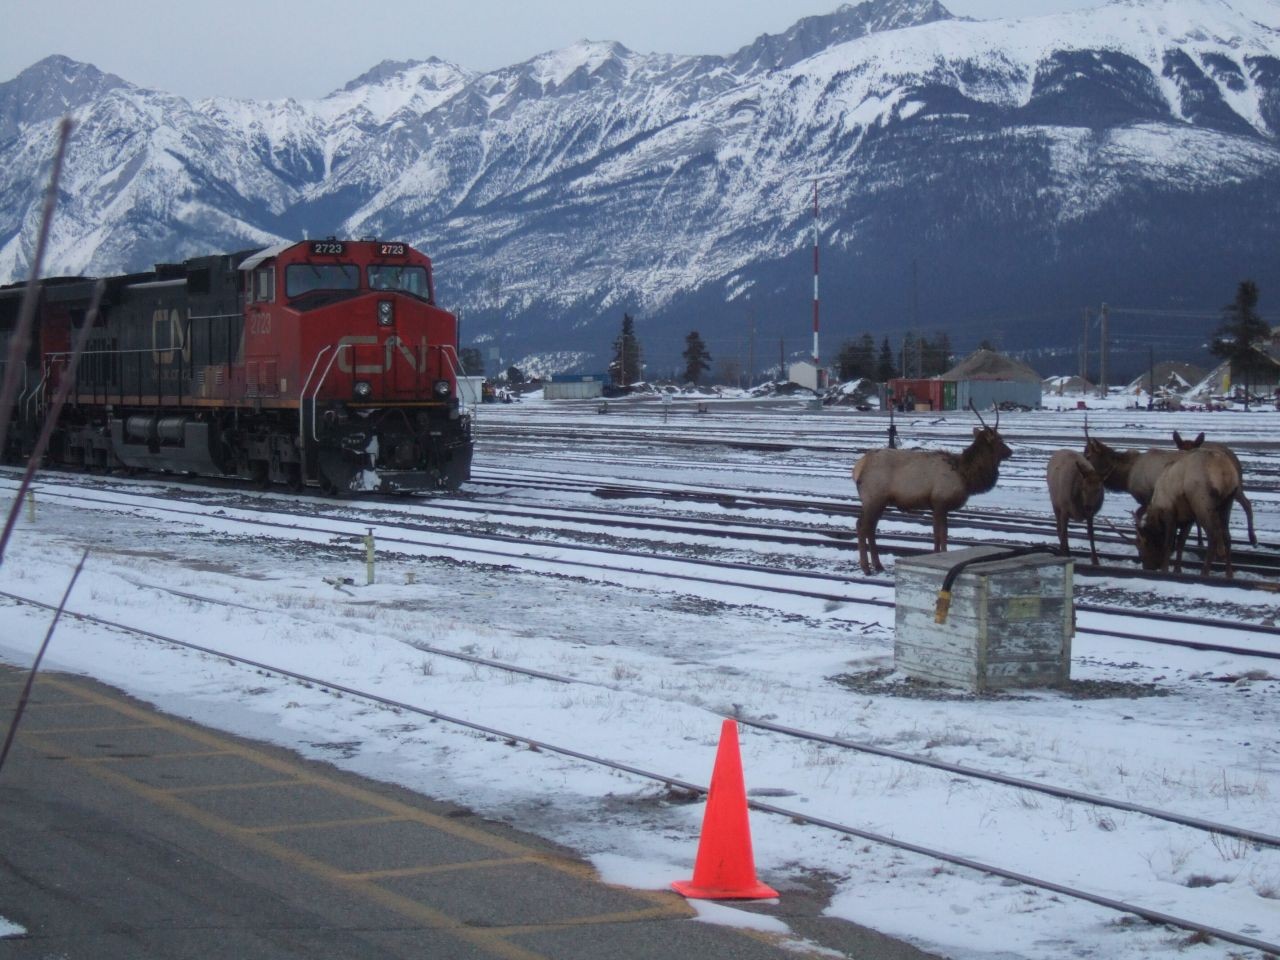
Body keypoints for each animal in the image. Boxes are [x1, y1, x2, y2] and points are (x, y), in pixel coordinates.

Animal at [855, 407, 1013, 578]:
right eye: (1000, 439)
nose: (1010, 451)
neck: (965, 475)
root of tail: (858, 468)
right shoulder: (940, 502)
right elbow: (942, 534)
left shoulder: (936, 505)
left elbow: (936, 534)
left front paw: (936, 554)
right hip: (874, 498)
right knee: (863, 526)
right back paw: (866, 568)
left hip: (878, 501)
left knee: (869, 527)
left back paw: (878, 566)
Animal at [1141, 445, 1239, 578]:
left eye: (1144, 543)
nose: (1147, 567)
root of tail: (1224, 470)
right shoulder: (1189, 517)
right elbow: (1181, 542)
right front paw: (1177, 570)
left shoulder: (1169, 512)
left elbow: (1169, 542)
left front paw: (1165, 569)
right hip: (1228, 501)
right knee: (1227, 536)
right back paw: (1229, 574)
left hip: (1202, 502)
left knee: (1213, 536)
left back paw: (1204, 572)